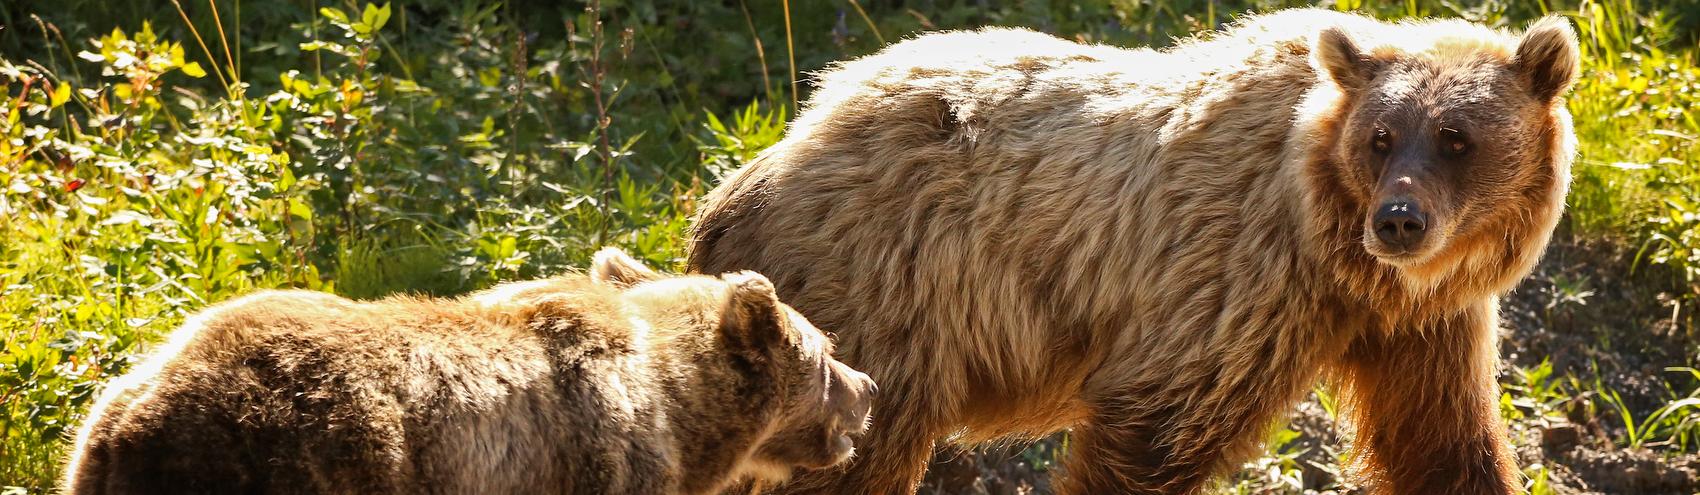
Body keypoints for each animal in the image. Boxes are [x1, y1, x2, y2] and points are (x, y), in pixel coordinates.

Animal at [62, 250, 877, 495]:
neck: (683, 412)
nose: (869, 388)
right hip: (288, 462)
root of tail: (131, 418)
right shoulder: (603, 458)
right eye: (826, 348)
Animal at [686, 8, 1577, 495]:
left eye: (1458, 137)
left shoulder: (1425, 327)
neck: (1341, 263)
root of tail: (757, 167)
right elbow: (1154, 433)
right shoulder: (1227, 285)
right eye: (1382, 135)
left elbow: (1443, 440)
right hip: (884, 295)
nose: (1398, 220)